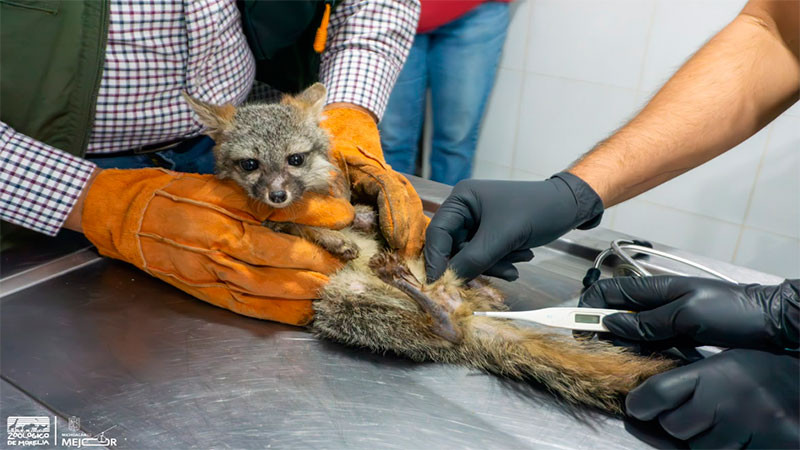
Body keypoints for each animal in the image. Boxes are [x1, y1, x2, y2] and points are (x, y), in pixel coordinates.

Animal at [182, 84, 675, 413]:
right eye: (250, 165)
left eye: (295, 160)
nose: (278, 194)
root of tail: (467, 313)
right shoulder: (275, 225)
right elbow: (296, 228)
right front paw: (330, 236)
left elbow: (354, 213)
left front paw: (358, 220)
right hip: (340, 302)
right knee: (446, 331)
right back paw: (422, 296)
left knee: (454, 315)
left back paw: (436, 285)